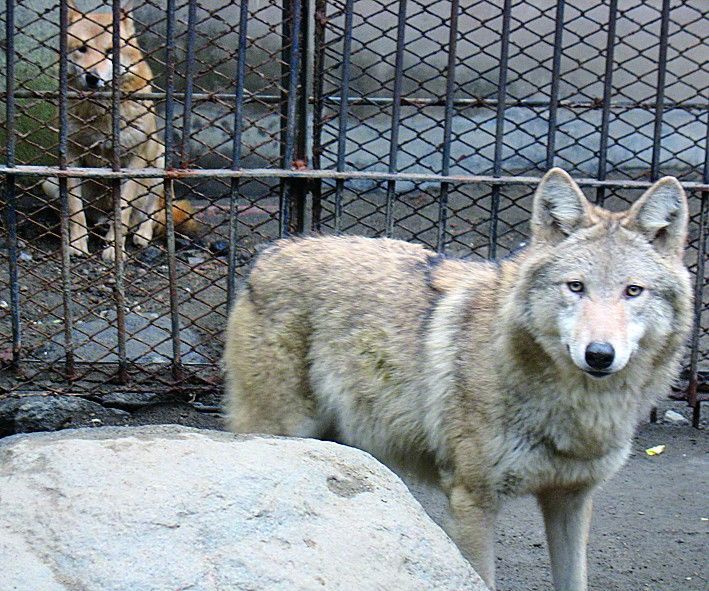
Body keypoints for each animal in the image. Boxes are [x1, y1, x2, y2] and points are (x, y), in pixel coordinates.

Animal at [41, 1, 196, 262]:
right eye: (82, 49)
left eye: (110, 51)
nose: (92, 77)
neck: (102, 111)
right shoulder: (70, 160)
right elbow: (75, 210)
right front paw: (77, 245)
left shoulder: (134, 160)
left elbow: (122, 210)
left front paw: (114, 249)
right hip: (49, 181)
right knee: (99, 216)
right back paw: (102, 224)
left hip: (159, 164)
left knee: (151, 214)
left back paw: (139, 235)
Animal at [223, 169, 692, 588]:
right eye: (575, 287)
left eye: (633, 291)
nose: (599, 354)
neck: (579, 408)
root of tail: (271, 251)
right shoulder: (471, 499)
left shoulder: (571, 500)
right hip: (283, 433)